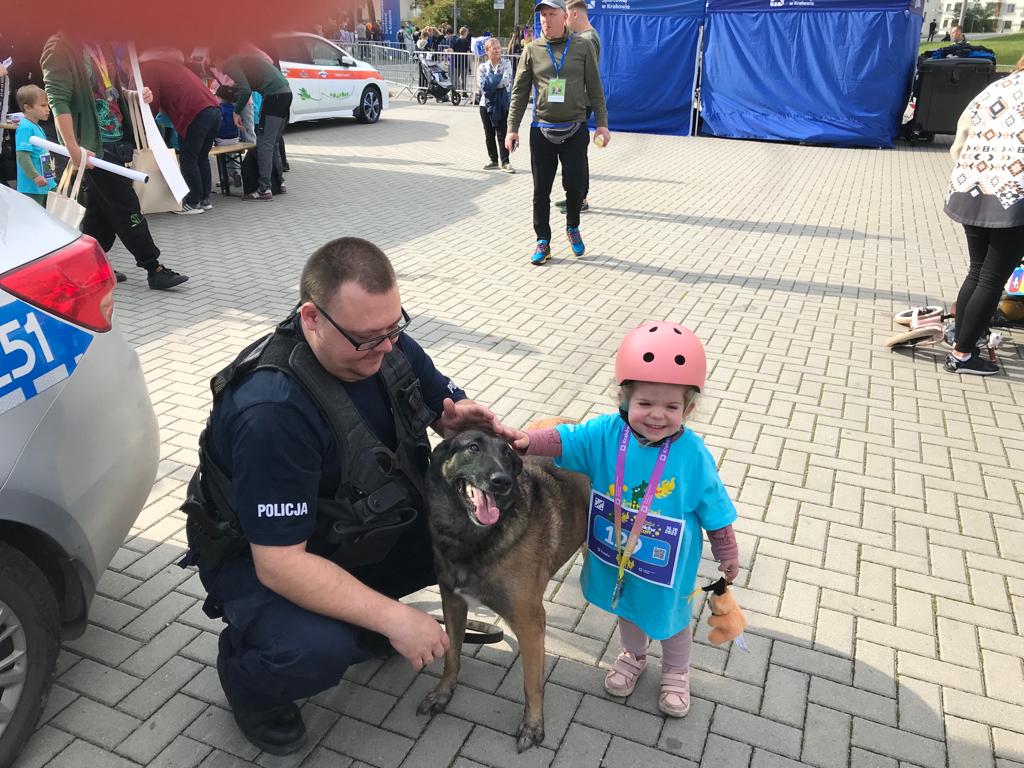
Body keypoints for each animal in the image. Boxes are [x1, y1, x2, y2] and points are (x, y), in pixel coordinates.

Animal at [415, 428, 589, 753]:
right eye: (472, 447)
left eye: (508, 454)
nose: (502, 481)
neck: (471, 537)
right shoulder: (453, 605)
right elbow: (451, 655)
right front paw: (443, 692)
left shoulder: (530, 625)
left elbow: (531, 683)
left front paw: (533, 725)